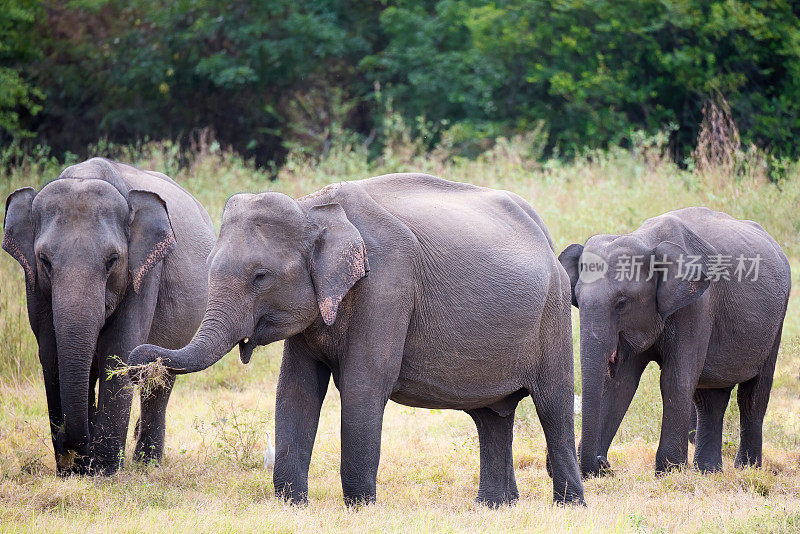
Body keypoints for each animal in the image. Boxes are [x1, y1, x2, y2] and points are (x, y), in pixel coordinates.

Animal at [1, 157, 216, 476]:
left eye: (113, 260)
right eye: (44, 260)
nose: (73, 445)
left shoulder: (145, 272)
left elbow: (119, 350)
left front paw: (103, 470)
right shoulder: (33, 281)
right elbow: (51, 353)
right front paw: (72, 471)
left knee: (160, 381)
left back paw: (147, 463)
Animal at [130, 174, 580, 508]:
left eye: (260, 276)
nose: (136, 362)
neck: (314, 209)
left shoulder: (388, 284)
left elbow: (364, 385)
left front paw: (361, 508)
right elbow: (295, 389)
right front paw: (292, 506)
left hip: (554, 313)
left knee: (553, 404)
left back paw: (569, 505)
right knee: (491, 416)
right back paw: (493, 507)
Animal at [560, 207, 792, 480]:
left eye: (622, 303)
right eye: (577, 299)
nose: (604, 465)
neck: (646, 240)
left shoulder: (697, 305)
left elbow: (675, 379)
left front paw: (669, 471)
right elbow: (620, 383)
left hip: (777, 320)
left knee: (753, 396)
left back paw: (746, 469)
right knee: (711, 399)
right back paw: (708, 472)